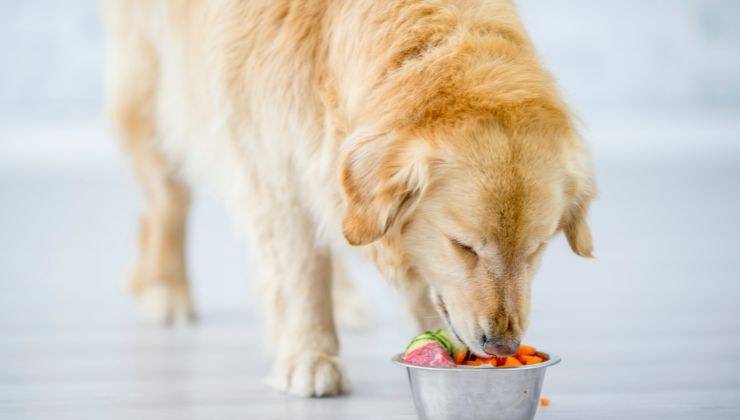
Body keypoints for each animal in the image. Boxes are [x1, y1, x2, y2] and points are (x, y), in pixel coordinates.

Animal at [102, 0, 596, 398]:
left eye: (536, 250)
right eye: (464, 247)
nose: (504, 346)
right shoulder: (275, 165)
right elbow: (301, 272)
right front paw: (311, 357)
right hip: (155, 89)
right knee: (167, 200)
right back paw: (165, 287)